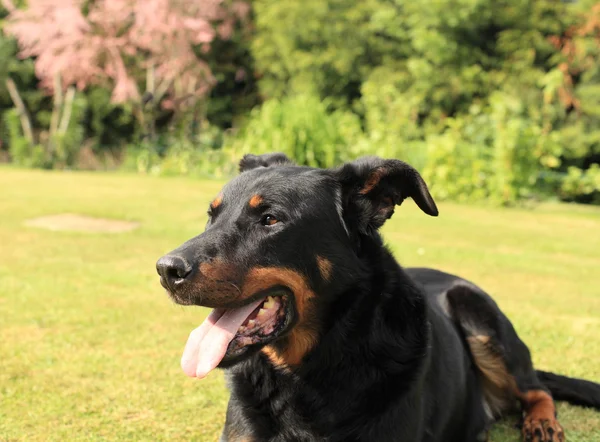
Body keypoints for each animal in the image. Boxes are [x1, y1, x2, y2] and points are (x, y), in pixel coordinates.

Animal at [156, 153, 600, 442]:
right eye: (212, 215)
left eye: (270, 219)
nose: (165, 270)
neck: (308, 371)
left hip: (478, 312)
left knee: (536, 388)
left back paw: (542, 423)